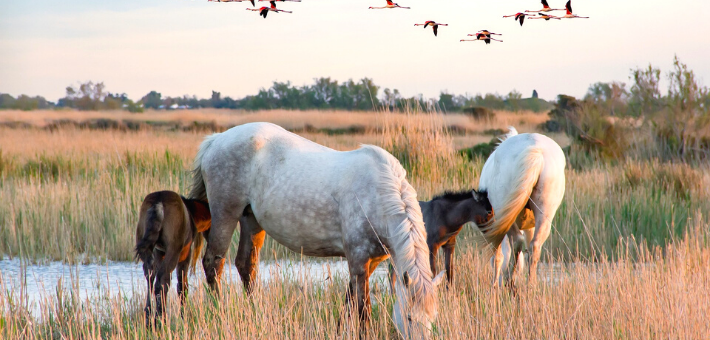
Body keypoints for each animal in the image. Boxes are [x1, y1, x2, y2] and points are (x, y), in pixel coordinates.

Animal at [134, 190, 211, 326]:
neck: (192, 214)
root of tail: (158, 203)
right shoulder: (185, 254)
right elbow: (182, 286)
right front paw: (184, 316)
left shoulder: (159, 252)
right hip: (174, 249)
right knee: (162, 280)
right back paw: (160, 319)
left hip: (147, 247)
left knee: (151, 277)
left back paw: (149, 318)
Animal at [189, 122, 444, 338]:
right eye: (409, 317)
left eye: (432, 319)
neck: (379, 194)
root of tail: (216, 139)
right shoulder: (358, 258)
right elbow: (362, 306)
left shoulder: (370, 261)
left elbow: (350, 299)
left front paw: (340, 331)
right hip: (225, 214)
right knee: (214, 263)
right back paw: (220, 312)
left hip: (251, 220)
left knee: (246, 265)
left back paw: (256, 313)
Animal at [478, 127, 568, 286]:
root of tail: (536, 150)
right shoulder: (529, 226)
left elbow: (497, 257)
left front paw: (494, 285)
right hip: (544, 214)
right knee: (534, 246)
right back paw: (530, 285)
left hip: (505, 214)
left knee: (516, 241)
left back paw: (510, 280)